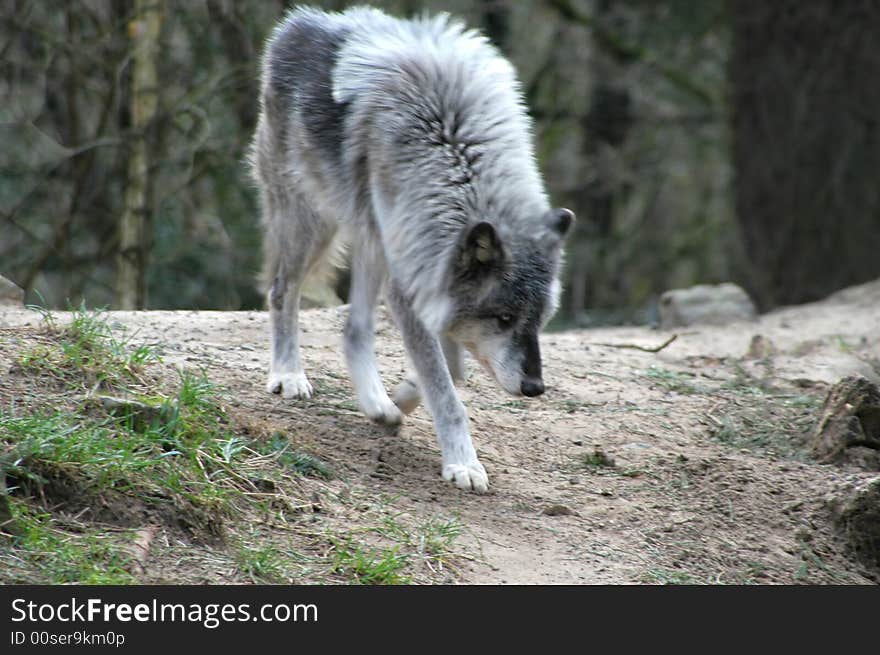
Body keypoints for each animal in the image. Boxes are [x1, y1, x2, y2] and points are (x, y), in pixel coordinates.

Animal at [251, 6, 576, 492]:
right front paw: (463, 463)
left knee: (354, 329)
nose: (535, 388)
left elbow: (451, 372)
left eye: (539, 322)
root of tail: (299, 22)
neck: (455, 151)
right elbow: (447, 389)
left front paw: (401, 399)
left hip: (372, 241)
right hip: (313, 223)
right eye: (503, 319)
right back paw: (288, 375)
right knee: (281, 291)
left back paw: (378, 404)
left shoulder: (431, 280)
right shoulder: (412, 284)